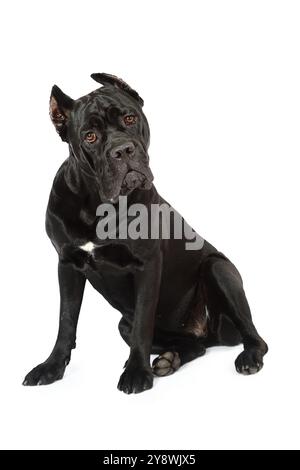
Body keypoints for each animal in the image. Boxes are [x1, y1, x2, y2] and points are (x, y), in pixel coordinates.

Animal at [22, 74, 268, 392]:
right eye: (90, 136)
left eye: (129, 118)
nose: (122, 150)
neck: (98, 203)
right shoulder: (67, 265)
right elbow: (66, 320)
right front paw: (51, 367)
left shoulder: (147, 266)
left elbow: (143, 324)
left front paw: (137, 372)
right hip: (124, 324)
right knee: (194, 346)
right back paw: (168, 360)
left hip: (219, 269)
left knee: (254, 336)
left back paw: (247, 357)